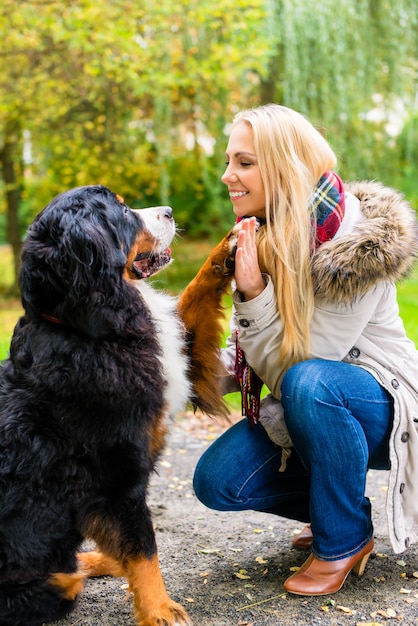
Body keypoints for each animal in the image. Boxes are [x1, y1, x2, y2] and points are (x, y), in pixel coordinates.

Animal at [0, 185, 237, 624]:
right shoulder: (118, 474)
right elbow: (144, 549)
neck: (84, 329)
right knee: (68, 575)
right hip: (41, 585)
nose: (170, 210)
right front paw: (160, 610)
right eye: (123, 212)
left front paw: (226, 250)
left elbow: (193, 297)